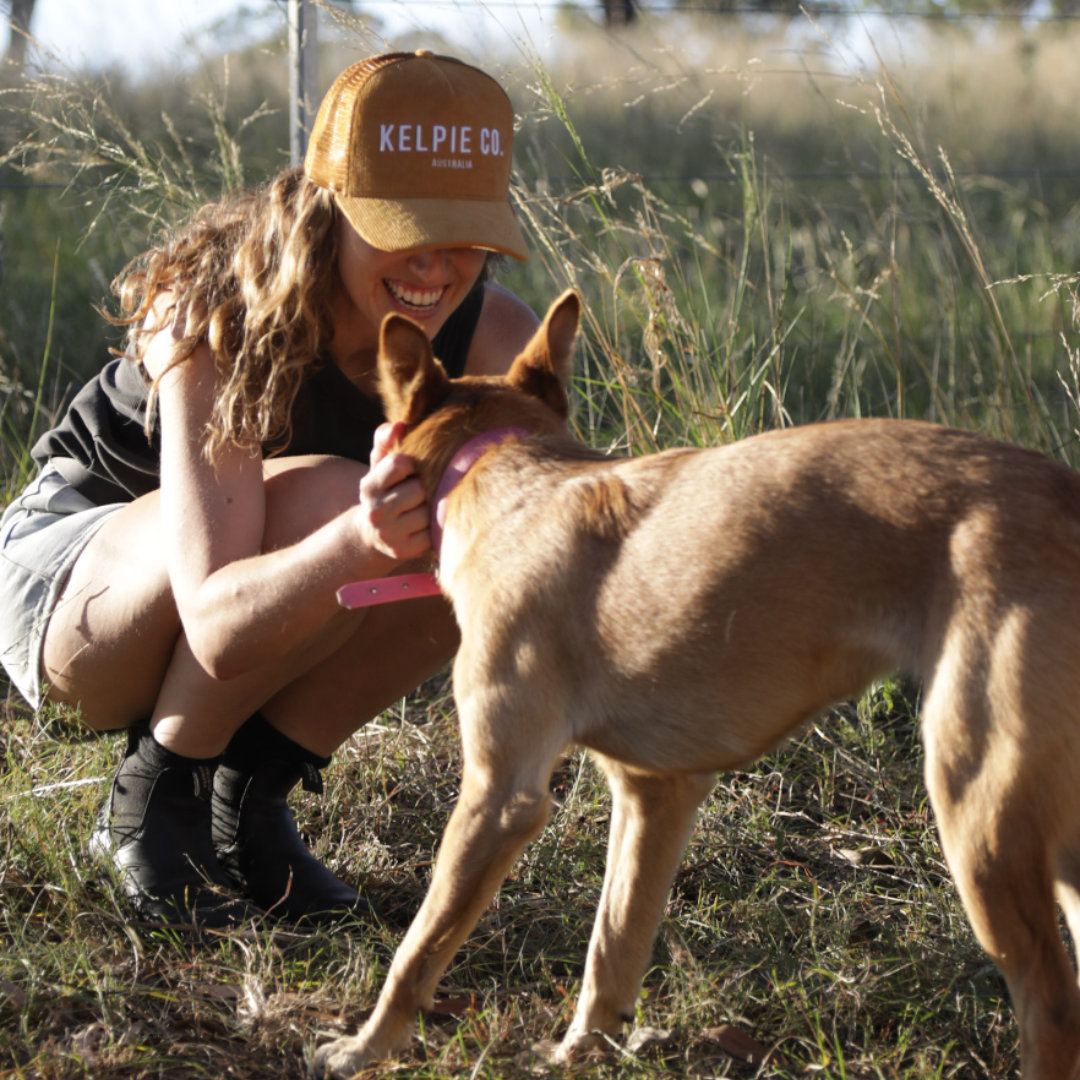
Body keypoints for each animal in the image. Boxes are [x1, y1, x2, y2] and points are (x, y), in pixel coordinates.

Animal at [315, 291, 1080, 1075]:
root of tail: (1063, 493)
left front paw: (365, 1047)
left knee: (1052, 1006)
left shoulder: (501, 796)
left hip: (977, 810)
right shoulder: (656, 792)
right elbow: (613, 947)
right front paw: (583, 1052)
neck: (507, 475)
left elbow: (418, 948)